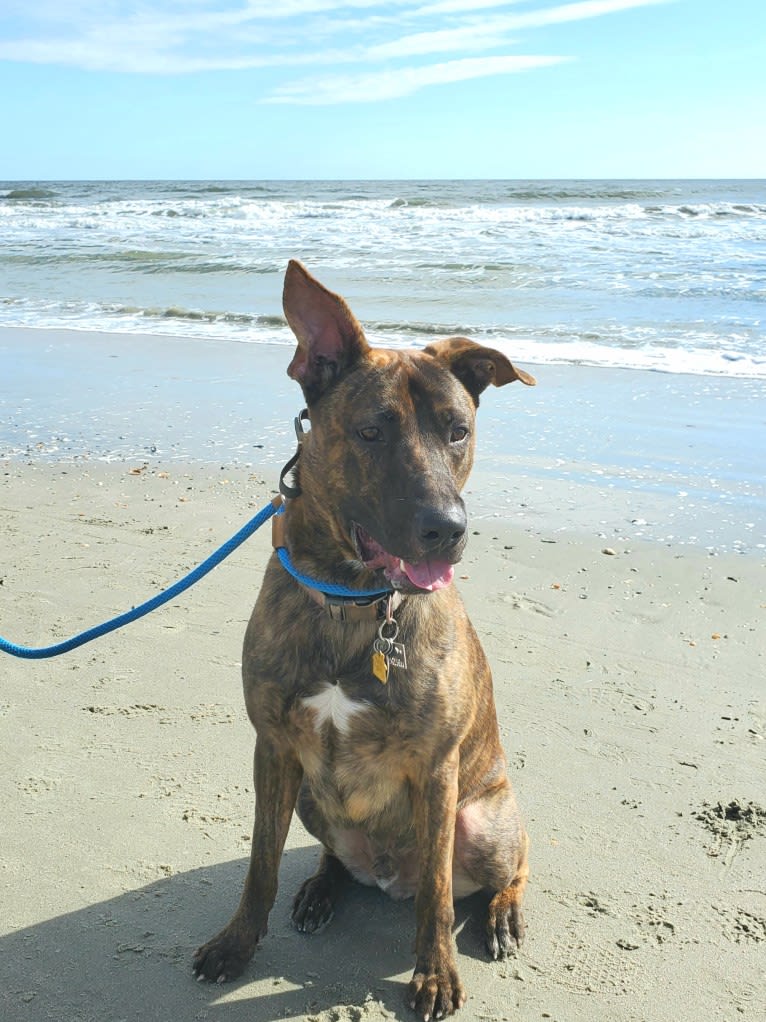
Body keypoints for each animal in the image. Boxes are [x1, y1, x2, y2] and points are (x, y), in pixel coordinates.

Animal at [195, 263, 535, 1021]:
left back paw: (502, 911)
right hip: (311, 797)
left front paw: (433, 974)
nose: (448, 529)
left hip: (483, 820)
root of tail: (389, 878)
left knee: (506, 865)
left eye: (458, 431)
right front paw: (237, 942)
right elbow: (260, 865)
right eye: (372, 430)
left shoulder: (436, 771)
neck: (353, 604)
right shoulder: (274, 748)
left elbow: (438, 899)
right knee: (336, 859)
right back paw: (323, 887)